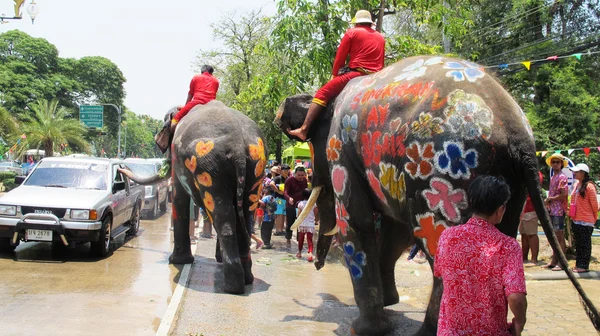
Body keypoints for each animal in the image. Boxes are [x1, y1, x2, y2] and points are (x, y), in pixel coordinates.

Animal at [119, 100, 268, 294]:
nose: (121, 168)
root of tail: (237, 146)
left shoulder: (178, 160)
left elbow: (179, 197)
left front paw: (177, 261)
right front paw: (216, 258)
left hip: (208, 166)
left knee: (222, 215)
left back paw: (231, 286)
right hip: (256, 165)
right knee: (246, 213)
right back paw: (247, 278)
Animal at [274, 56, 596, 334]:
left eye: (310, 145)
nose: (316, 265)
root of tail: (521, 135)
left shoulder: (341, 152)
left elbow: (358, 223)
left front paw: (364, 329)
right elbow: (397, 232)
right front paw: (390, 303)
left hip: (444, 178)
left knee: (440, 245)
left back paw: (430, 331)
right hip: (511, 187)